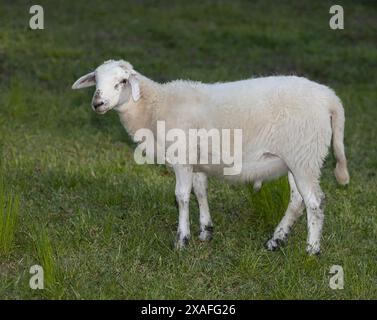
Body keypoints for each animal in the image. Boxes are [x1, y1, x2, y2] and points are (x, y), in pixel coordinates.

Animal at [72, 59, 348, 255]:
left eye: (122, 81)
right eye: (96, 80)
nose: (98, 103)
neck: (153, 106)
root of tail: (330, 98)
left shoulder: (182, 158)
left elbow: (182, 197)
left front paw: (181, 240)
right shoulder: (196, 162)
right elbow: (201, 192)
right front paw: (206, 231)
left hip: (305, 156)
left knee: (315, 202)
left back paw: (311, 250)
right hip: (297, 158)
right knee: (298, 200)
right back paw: (276, 240)